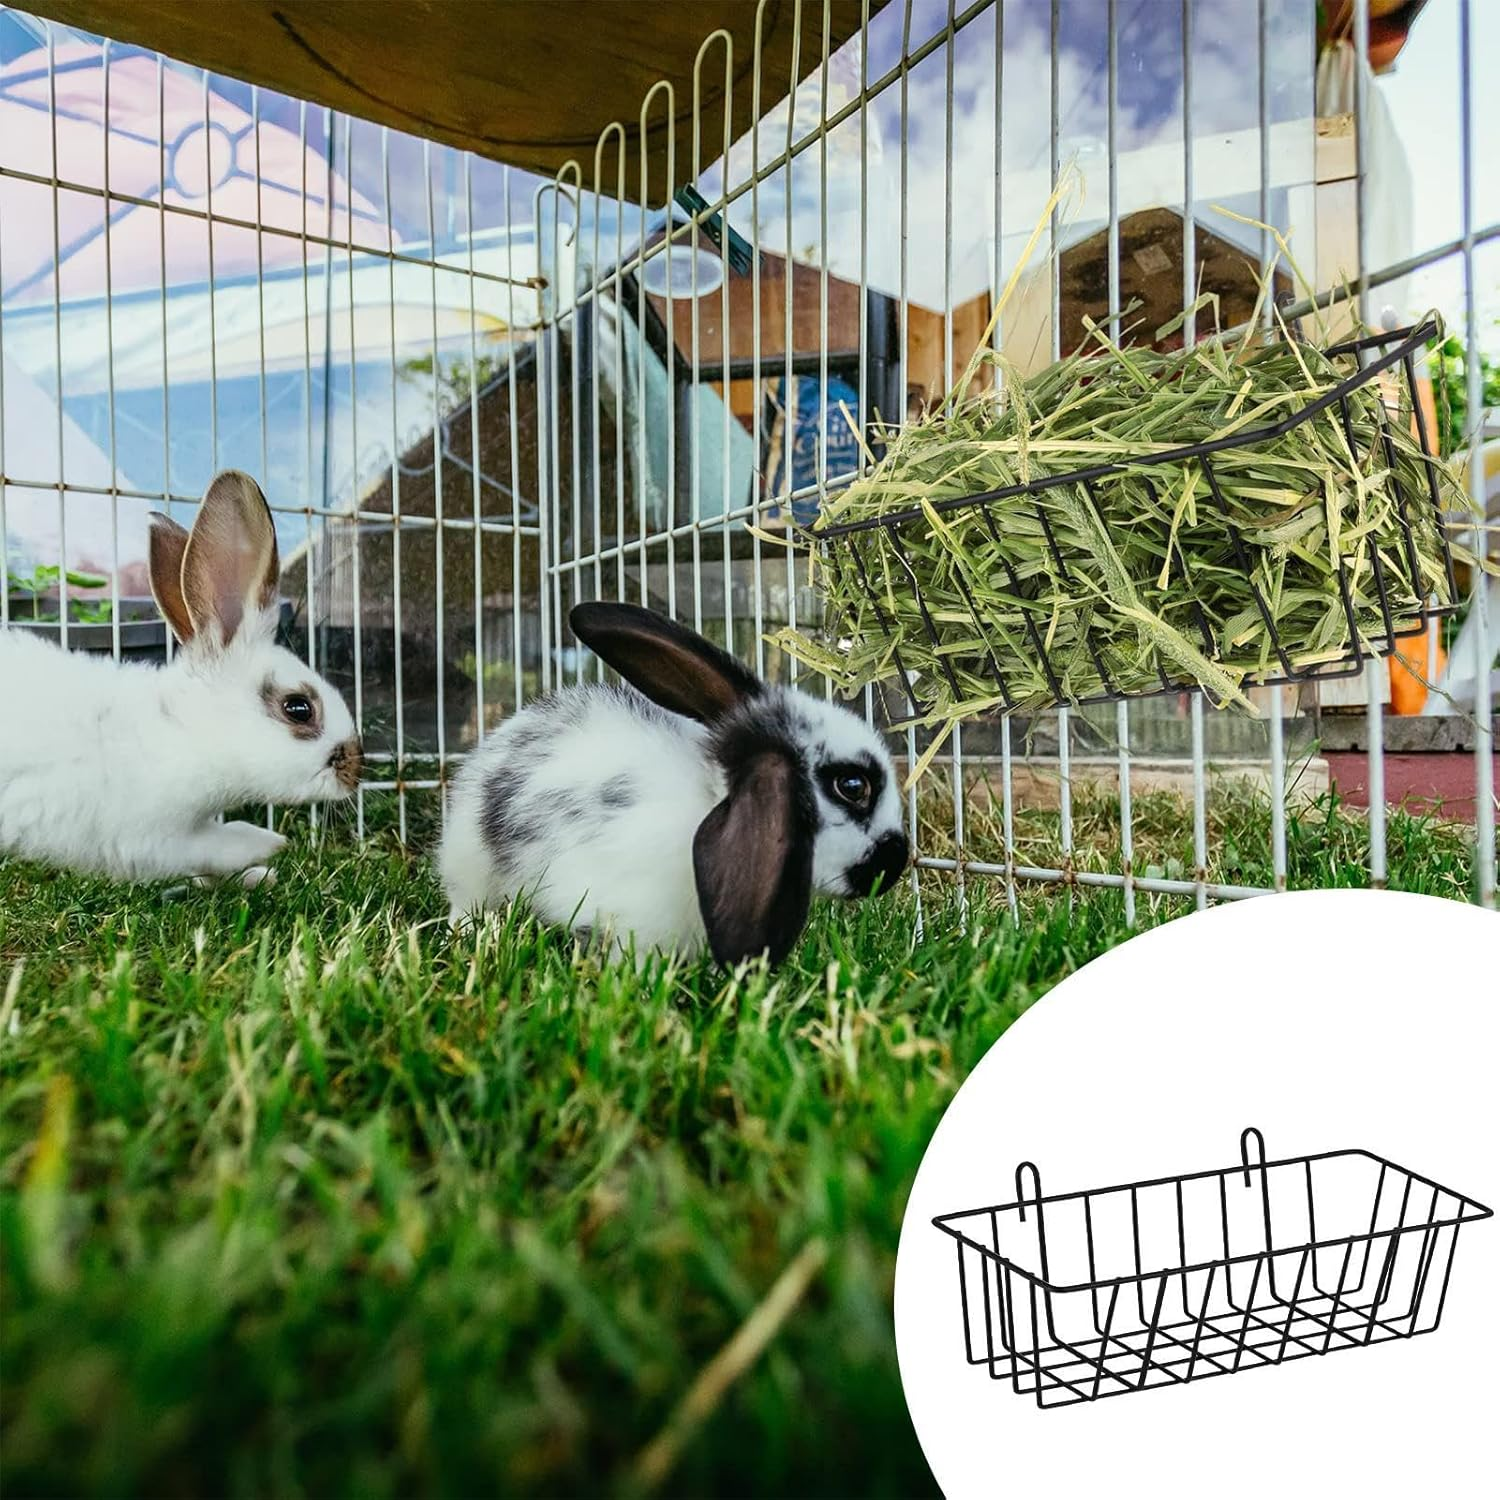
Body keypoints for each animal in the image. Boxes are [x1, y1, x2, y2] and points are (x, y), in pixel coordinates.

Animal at [0, 470, 362, 885]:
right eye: (298, 708)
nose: (356, 771)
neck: (181, 730)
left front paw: (257, 875)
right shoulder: (152, 840)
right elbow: (218, 846)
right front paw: (267, 845)